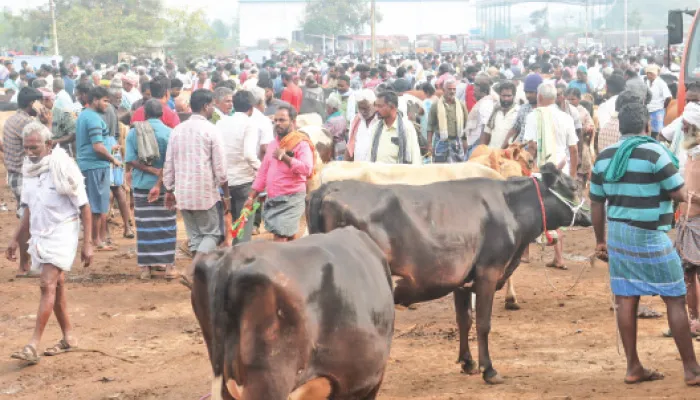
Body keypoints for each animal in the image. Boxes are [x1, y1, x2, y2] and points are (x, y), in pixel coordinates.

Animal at [306, 163, 591, 384]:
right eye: (573, 186)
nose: (589, 215)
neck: (510, 206)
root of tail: (329, 188)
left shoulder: (462, 280)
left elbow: (464, 319)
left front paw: (468, 363)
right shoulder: (489, 272)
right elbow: (484, 323)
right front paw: (489, 370)